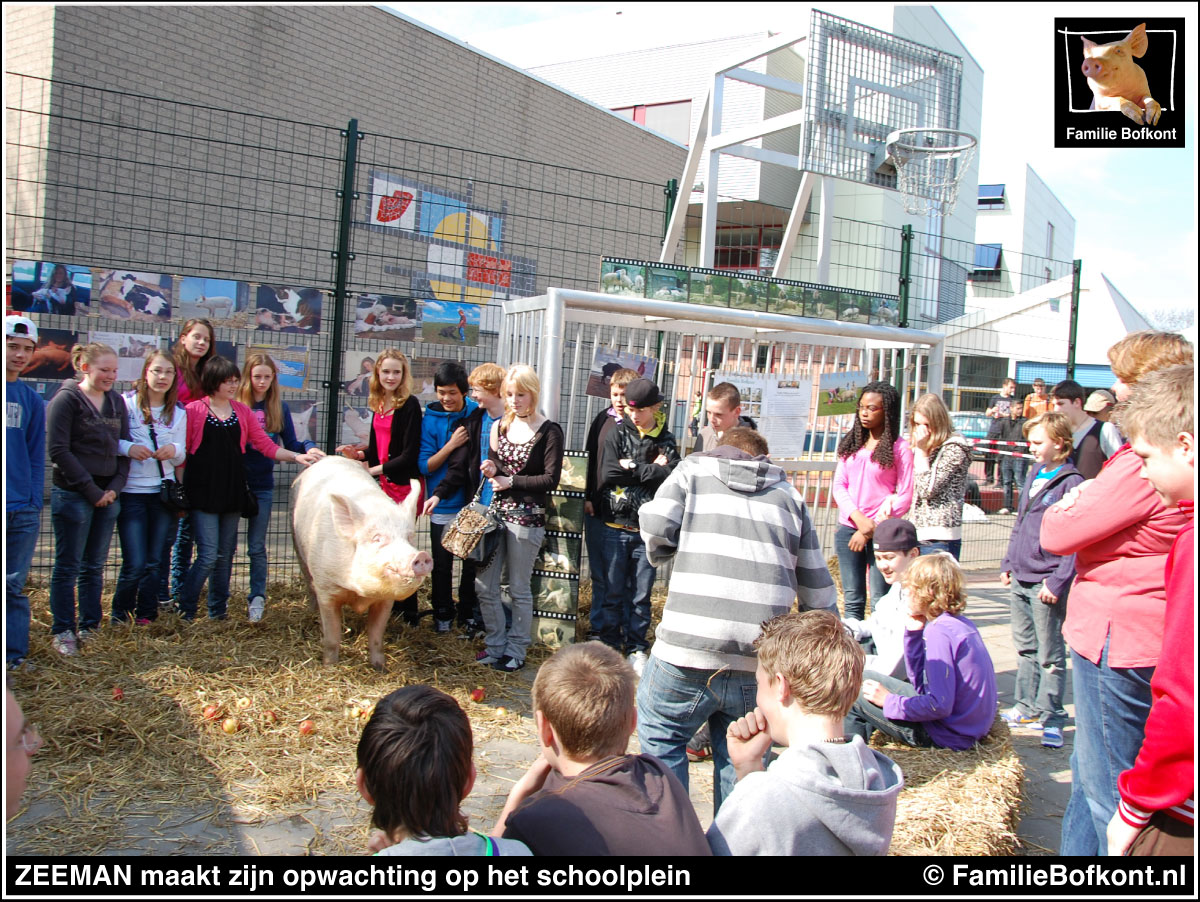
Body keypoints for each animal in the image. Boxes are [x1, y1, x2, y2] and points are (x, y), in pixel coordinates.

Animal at [290, 460, 432, 666]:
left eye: (409, 537)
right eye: (377, 538)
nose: (420, 555)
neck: (359, 593)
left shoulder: (386, 600)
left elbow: (376, 636)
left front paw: (380, 667)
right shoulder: (327, 588)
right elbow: (332, 637)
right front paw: (329, 666)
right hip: (298, 548)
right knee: (308, 582)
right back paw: (312, 611)